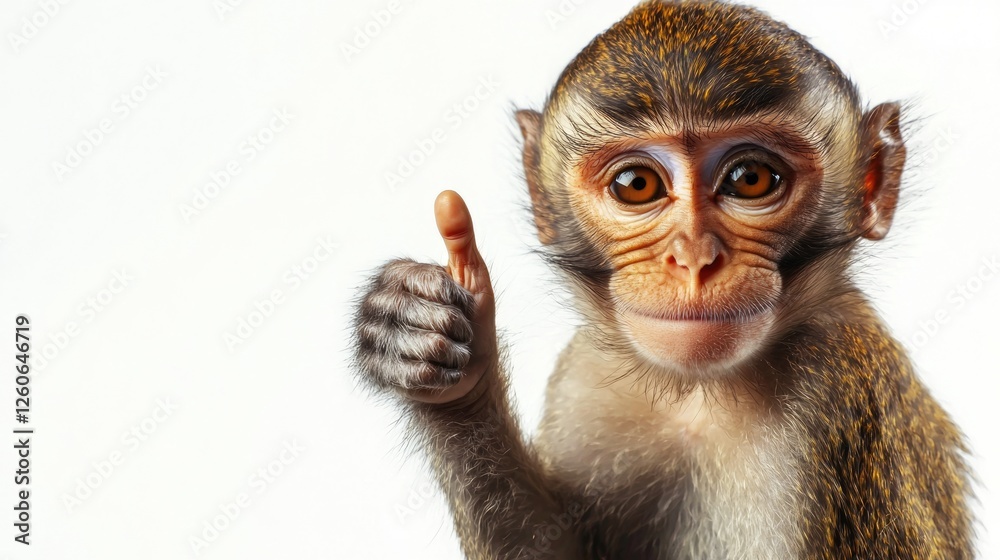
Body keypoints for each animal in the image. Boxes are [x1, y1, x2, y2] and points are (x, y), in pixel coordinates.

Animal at [352, 1, 974, 558]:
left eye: (750, 178)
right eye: (637, 185)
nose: (693, 258)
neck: (700, 395)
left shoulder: (839, 394)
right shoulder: (583, 382)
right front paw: (439, 352)